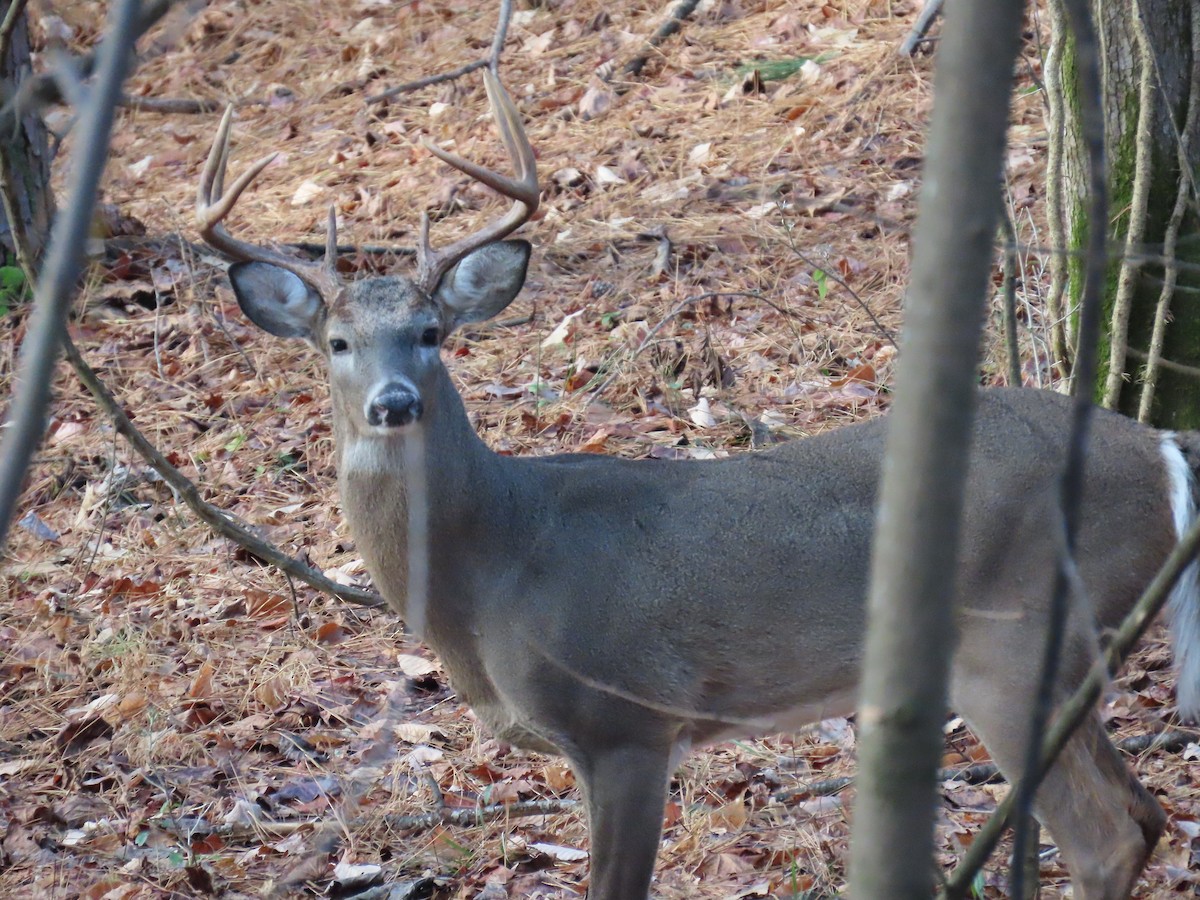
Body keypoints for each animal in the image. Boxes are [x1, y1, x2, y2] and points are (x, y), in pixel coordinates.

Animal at [196, 71, 1200, 899]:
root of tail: (1164, 448)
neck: (496, 564)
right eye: (337, 342)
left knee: (1107, 834)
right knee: (1144, 816)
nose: (395, 402)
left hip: (1017, 639)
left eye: (431, 333)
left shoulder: (629, 720)